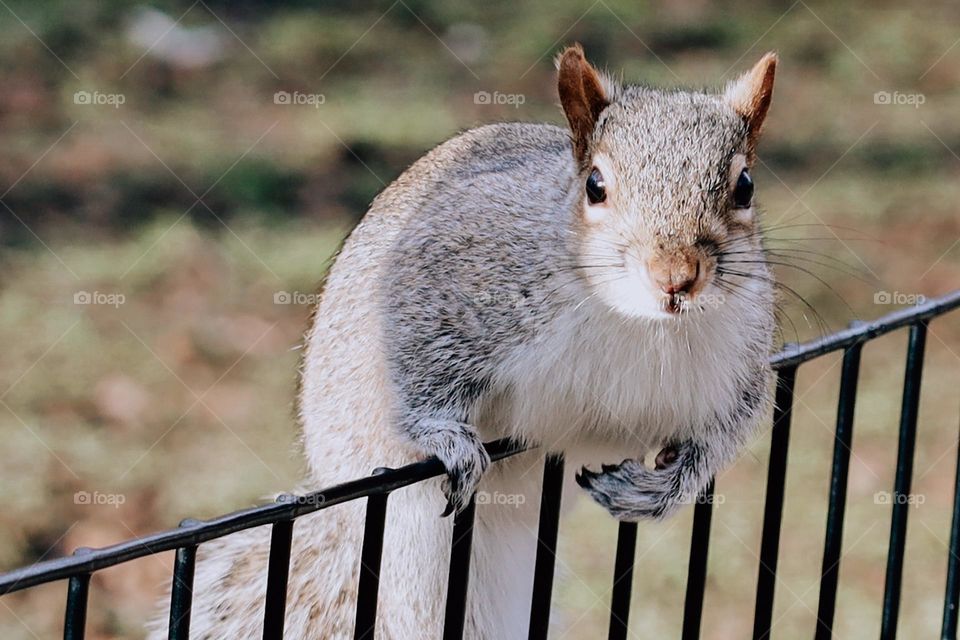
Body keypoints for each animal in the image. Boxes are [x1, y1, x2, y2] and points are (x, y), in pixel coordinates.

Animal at [148, 46, 780, 640]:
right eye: (595, 185)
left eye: (746, 186)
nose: (675, 277)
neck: (640, 322)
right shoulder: (444, 287)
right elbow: (418, 365)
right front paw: (443, 437)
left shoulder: (740, 361)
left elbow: (723, 433)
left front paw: (666, 488)